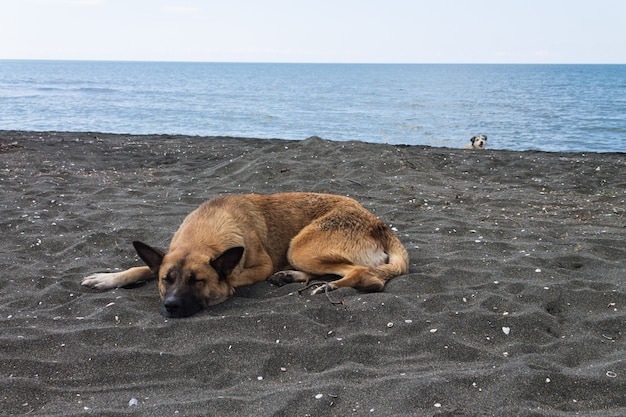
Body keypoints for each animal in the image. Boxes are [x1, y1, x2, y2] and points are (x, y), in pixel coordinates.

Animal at [80, 193, 408, 316]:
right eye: (166, 280)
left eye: (198, 281)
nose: (171, 306)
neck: (204, 235)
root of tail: (378, 222)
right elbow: (141, 268)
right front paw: (107, 278)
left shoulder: (259, 265)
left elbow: (232, 277)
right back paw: (291, 276)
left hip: (300, 246)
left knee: (364, 274)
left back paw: (328, 287)